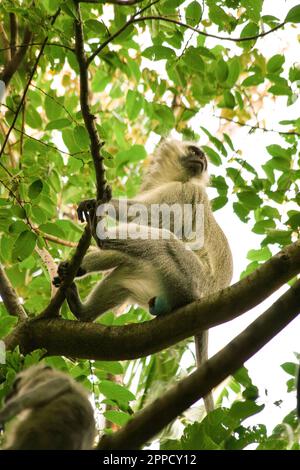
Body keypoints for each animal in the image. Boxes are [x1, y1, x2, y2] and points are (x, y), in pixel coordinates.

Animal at [58, 139, 232, 412]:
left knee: (162, 241)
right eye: (195, 152)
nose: (201, 160)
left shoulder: (184, 192)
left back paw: (102, 236)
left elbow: (147, 216)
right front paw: (73, 268)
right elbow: (128, 251)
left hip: (191, 278)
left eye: (202, 157)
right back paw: (82, 311)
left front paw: (100, 204)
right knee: (126, 269)